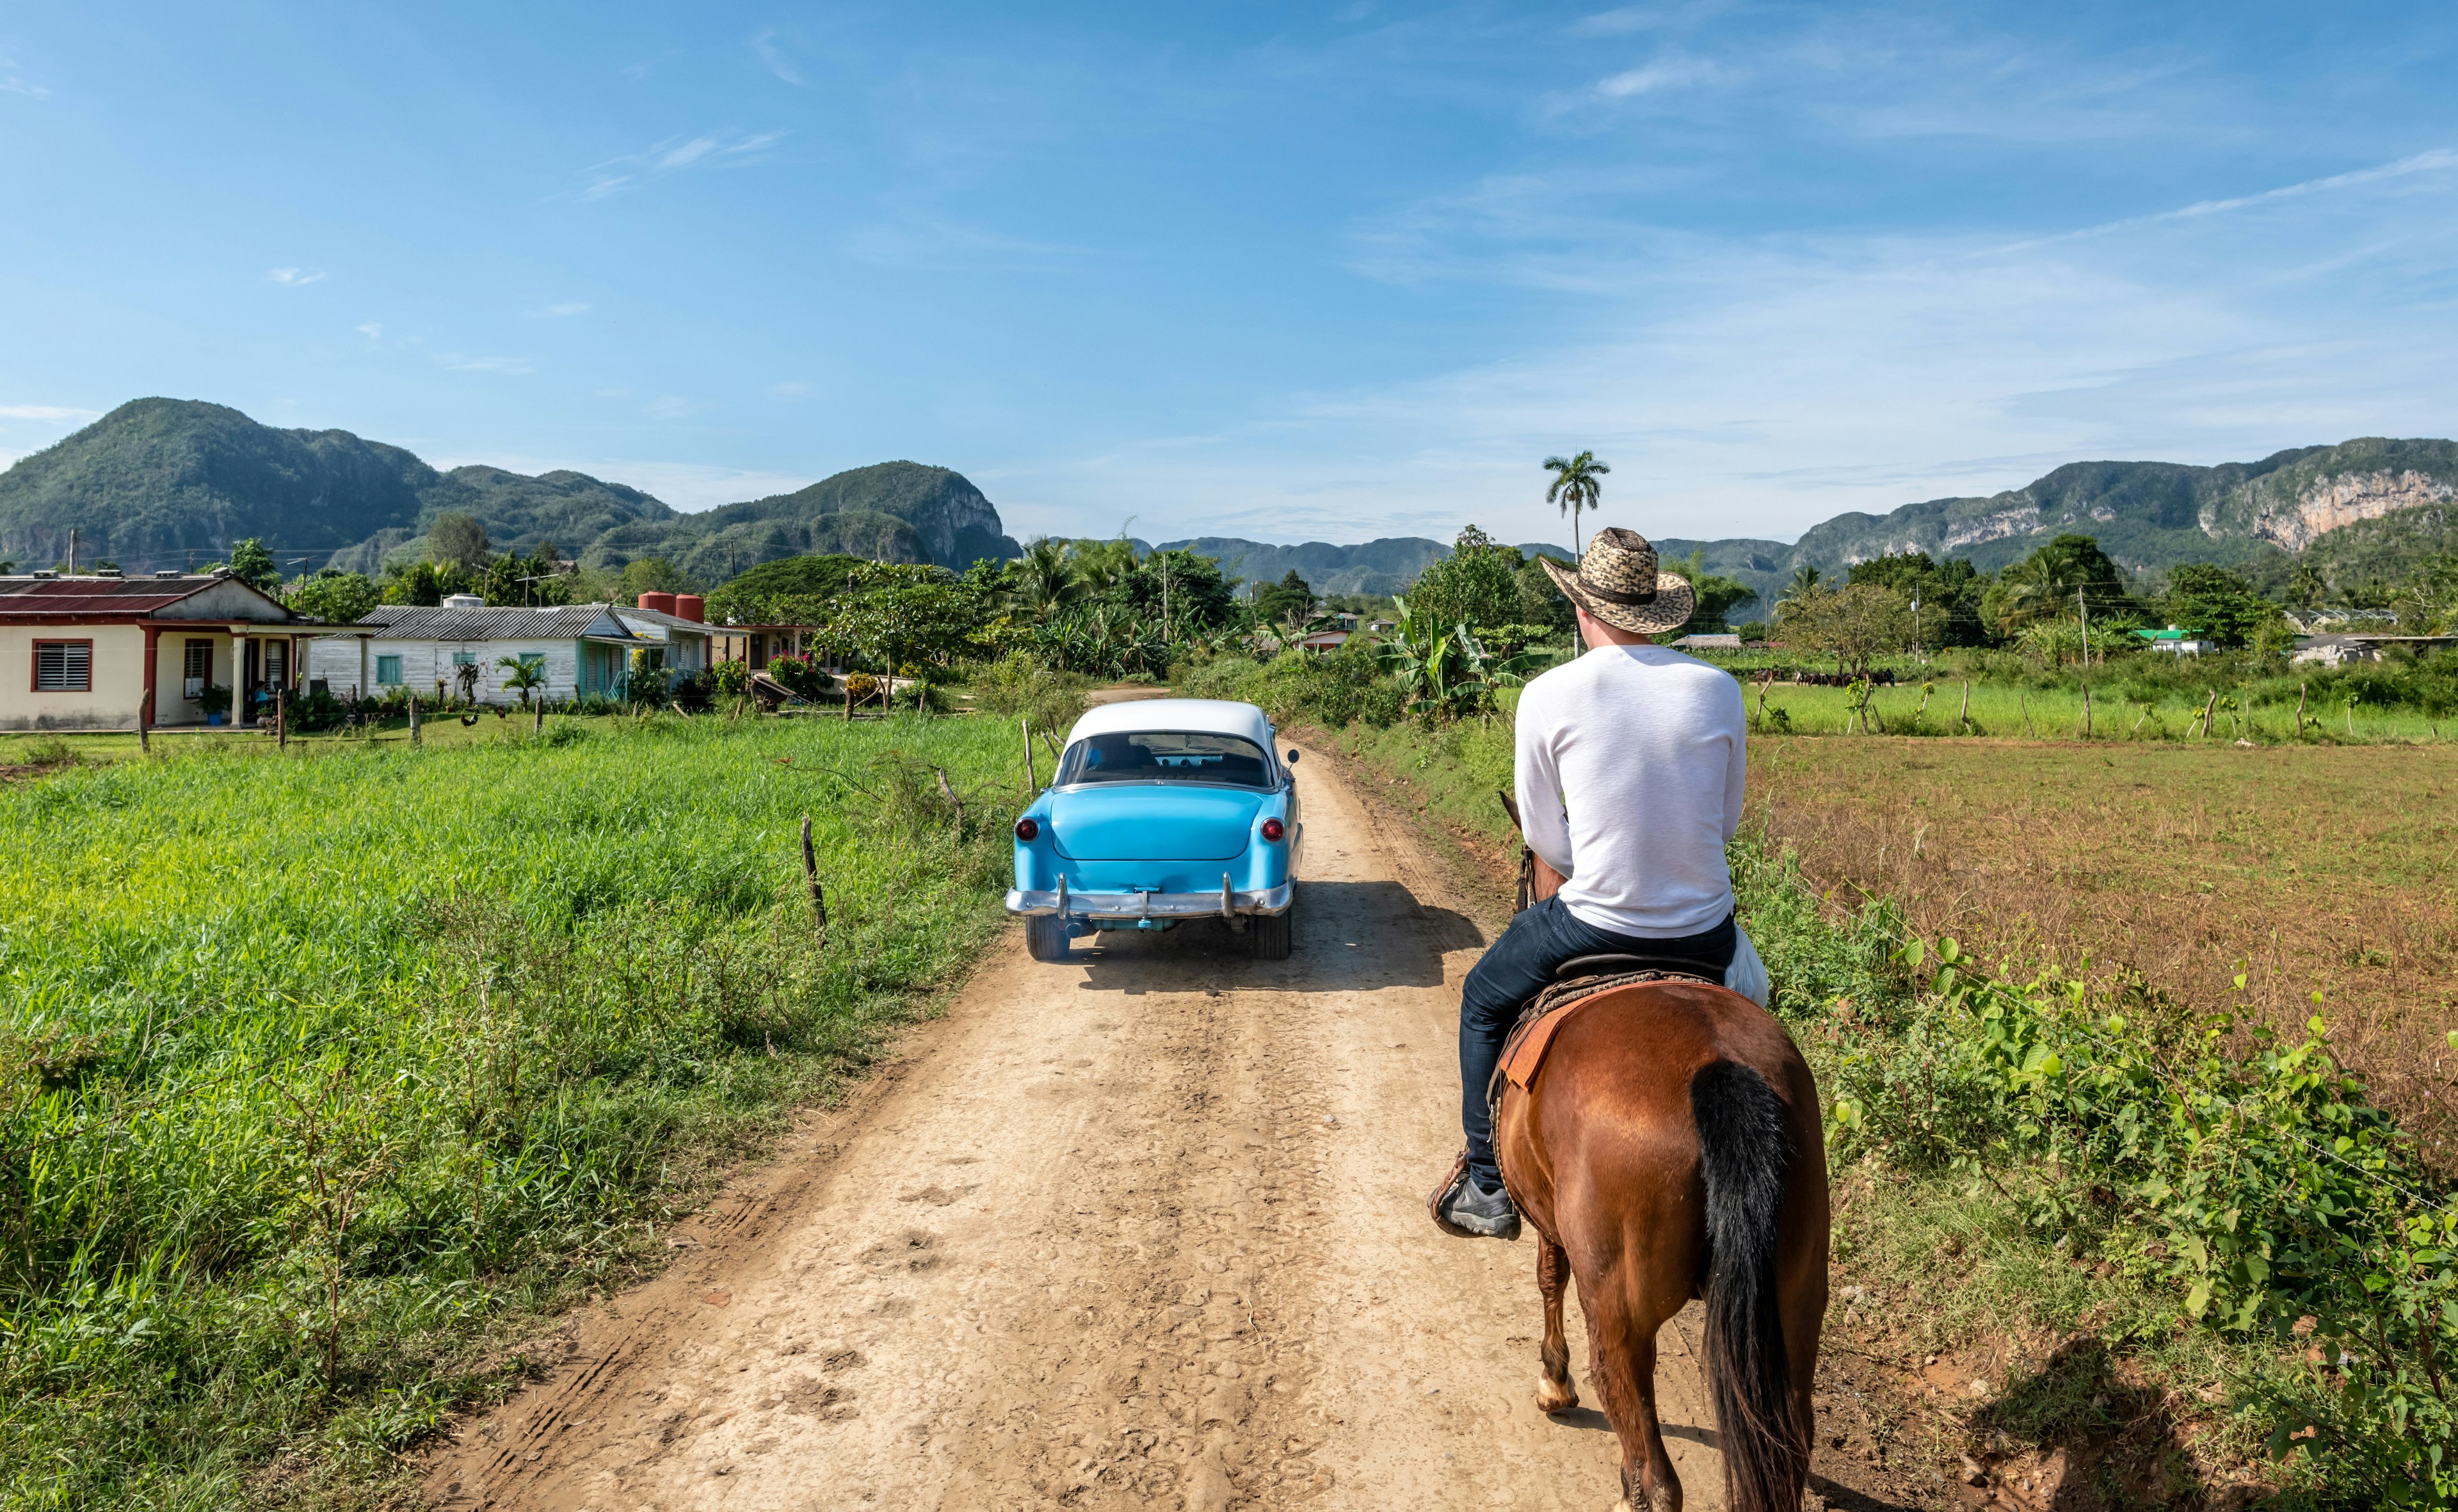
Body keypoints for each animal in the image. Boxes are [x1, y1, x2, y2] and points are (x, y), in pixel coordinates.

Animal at [1484, 835, 1819, 1504]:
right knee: (1788, 1454)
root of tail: (1719, 1068)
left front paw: (1554, 1383)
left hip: (1620, 1314)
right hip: (1793, 1307)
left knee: (1655, 1473)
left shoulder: (1552, 1224)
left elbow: (1549, 1278)